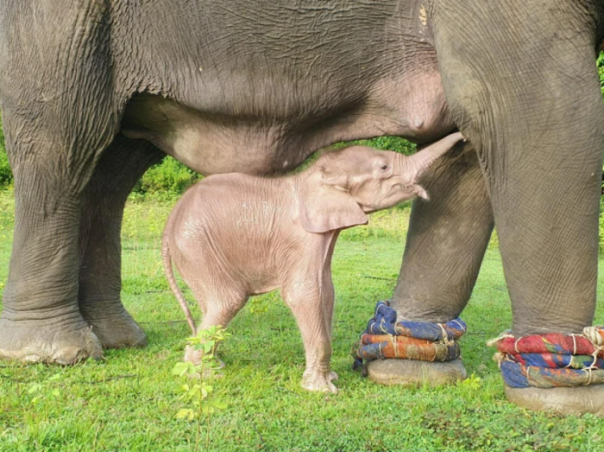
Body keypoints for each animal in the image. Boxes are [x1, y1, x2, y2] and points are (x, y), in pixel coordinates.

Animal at [160, 131, 462, 392]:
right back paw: (205, 374)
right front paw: (323, 390)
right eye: (384, 167)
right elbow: (305, 294)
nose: (463, 137)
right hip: (195, 245)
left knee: (211, 304)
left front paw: (331, 378)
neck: (315, 176)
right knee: (228, 300)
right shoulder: (302, 238)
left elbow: (326, 292)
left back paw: (212, 364)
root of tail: (170, 222)